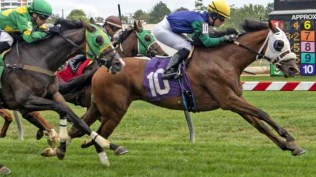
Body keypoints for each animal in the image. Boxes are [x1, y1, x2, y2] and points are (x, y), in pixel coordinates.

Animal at [67, 20, 306, 164]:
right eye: (279, 43)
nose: (293, 68)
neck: (224, 60)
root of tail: (103, 68)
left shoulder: (236, 100)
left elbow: (260, 125)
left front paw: (289, 147)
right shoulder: (228, 100)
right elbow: (263, 113)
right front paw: (290, 138)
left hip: (98, 107)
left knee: (78, 128)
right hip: (114, 111)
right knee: (97, 133)